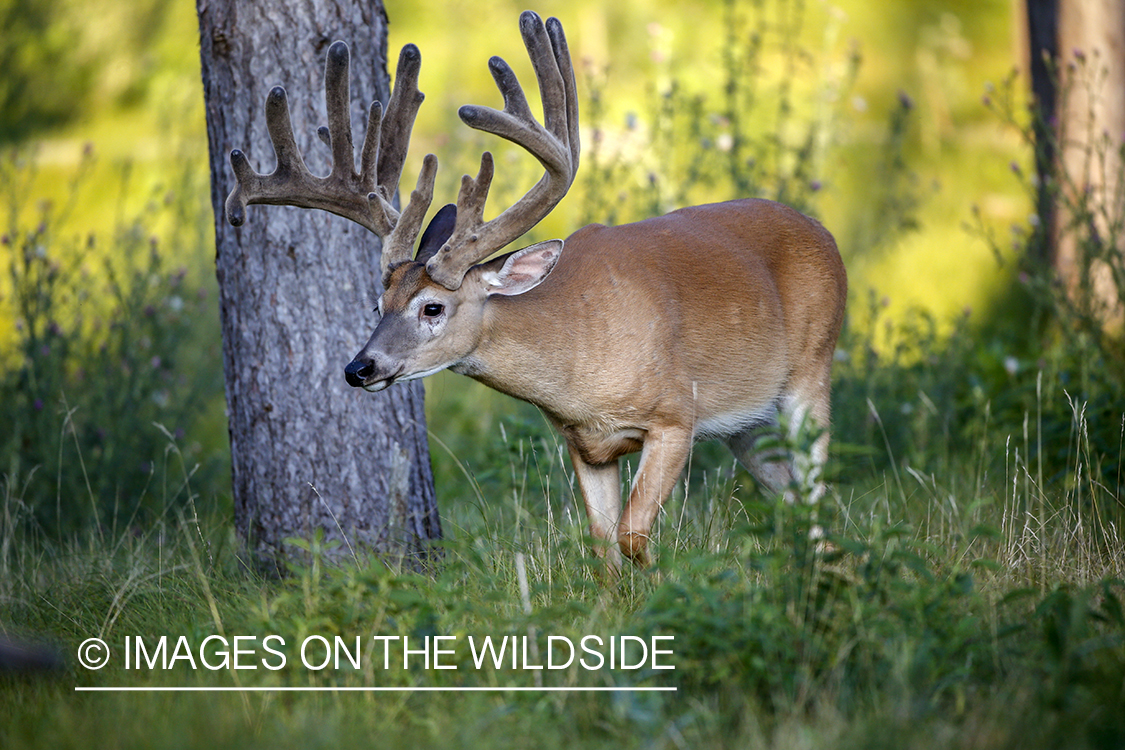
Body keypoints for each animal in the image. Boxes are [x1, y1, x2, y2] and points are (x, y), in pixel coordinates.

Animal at [226, 11, 846, 571]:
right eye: (377, 305)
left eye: (433, 307)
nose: (360, 367)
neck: (576, 368)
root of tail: (822, 230)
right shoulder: (584, 445)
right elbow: (603, 551)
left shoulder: (676, 414)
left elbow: (632, 538)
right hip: (748, 426)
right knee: (792, 498)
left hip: (810, 372)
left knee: (819, 496)